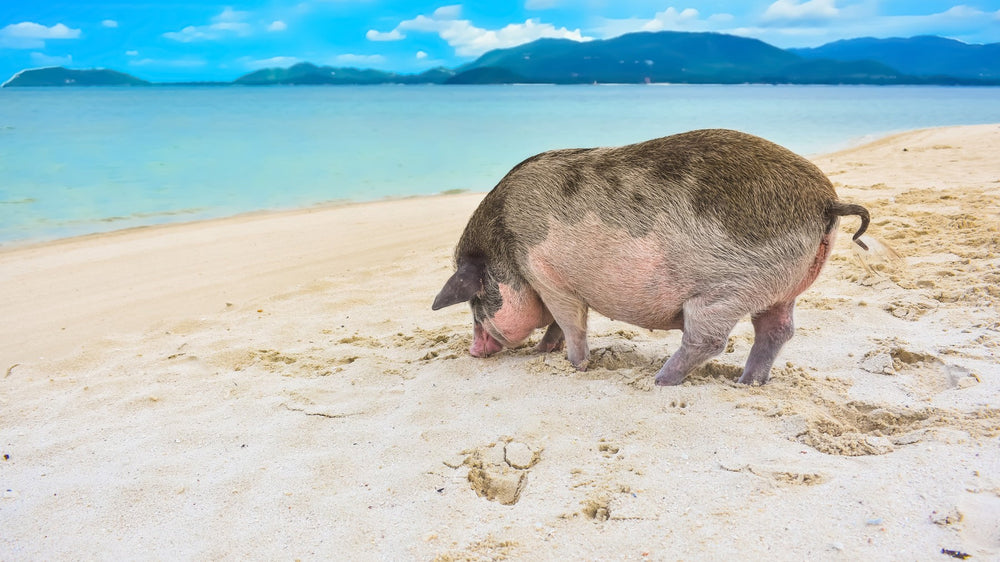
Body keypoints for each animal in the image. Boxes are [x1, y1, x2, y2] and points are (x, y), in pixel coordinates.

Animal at [432, 129, 869, 386]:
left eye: (475, 301)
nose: (473, 351)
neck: (507, 251)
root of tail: (826, 200)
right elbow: (558, 324)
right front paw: (543, 352)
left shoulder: (548, 276)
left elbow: (570, 323)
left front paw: (572, 365)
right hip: (781, 289)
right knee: (777, 331)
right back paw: (747, 383)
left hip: (727, 291)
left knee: (709, 339)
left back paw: (660, 380)